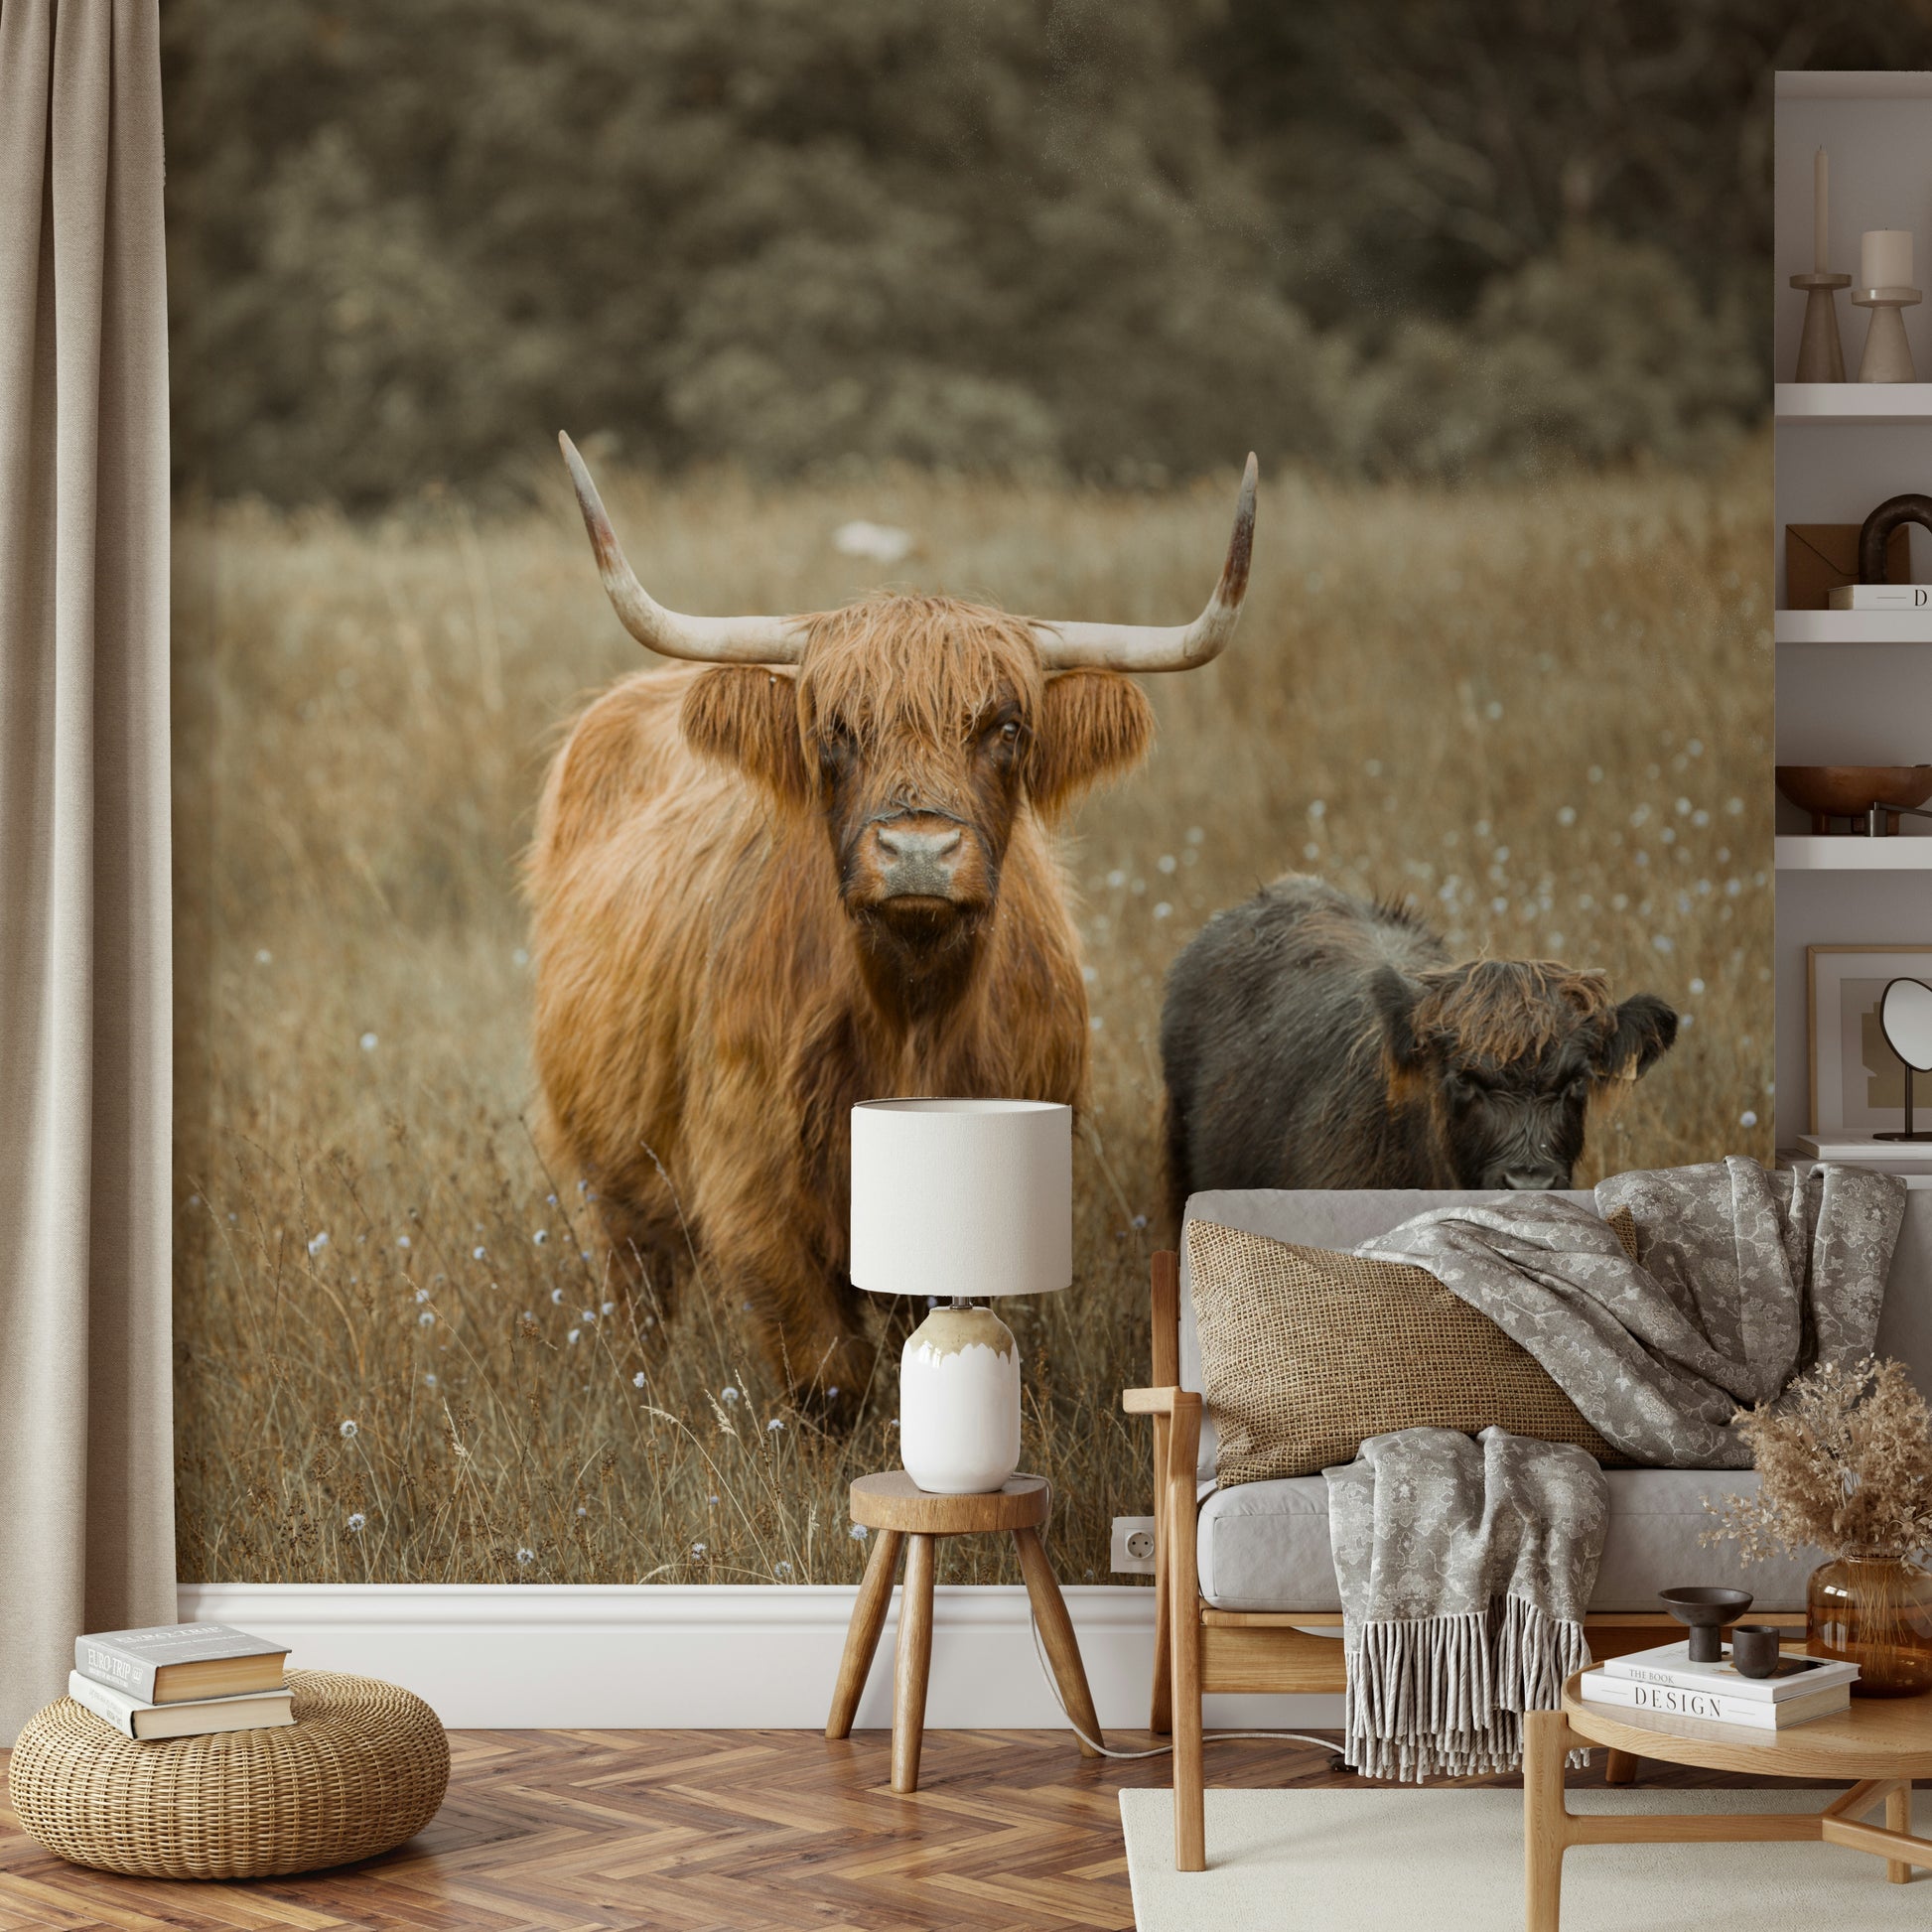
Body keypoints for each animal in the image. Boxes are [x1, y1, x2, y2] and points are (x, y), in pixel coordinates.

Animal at [528, 435, 1256, 1410]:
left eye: (1007, 727)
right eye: (833, 730)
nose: (917, 850)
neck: (911, 1017)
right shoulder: (755, 1194)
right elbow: (828, 1371)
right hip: (611, 1166)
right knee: (639, 1284)